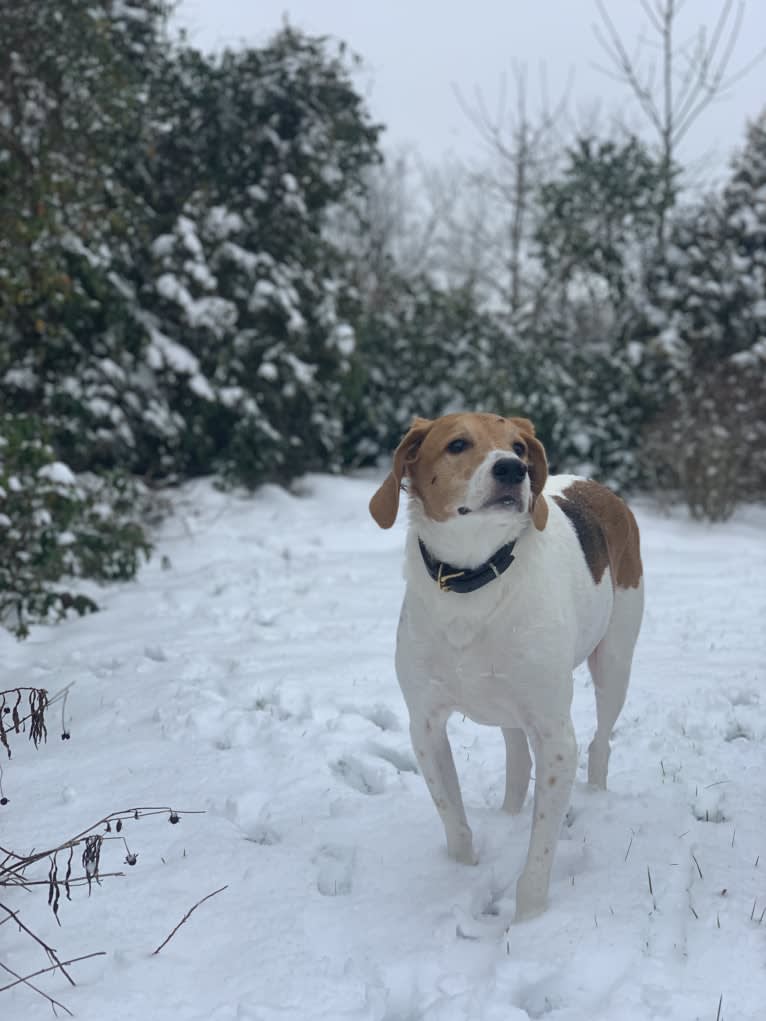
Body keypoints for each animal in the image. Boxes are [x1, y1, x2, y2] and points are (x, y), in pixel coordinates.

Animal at [369, 410, 645, 922]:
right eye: (457, 444)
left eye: (518, 447)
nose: (513, 470)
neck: (473, 579)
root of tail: (595, 484)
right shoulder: (425, 725)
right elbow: (452, 816)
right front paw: (461, 872)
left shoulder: (556, 736)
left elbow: (540, 851)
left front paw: (530, 918)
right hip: (510, 702)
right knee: (518, 758)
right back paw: (510, 814)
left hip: (614, 663)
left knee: (600, 743)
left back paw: (596, 797)